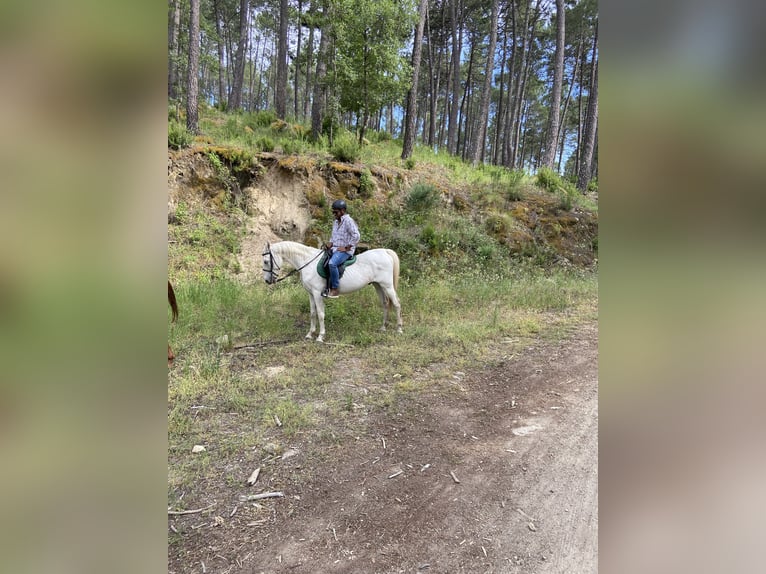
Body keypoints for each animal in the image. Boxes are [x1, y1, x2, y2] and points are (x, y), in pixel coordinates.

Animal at [264, 240, 404, 342]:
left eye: (265, 261)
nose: (267, 281)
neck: (308, 262)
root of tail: (385, 251)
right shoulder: (310, 294)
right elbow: (312, 313)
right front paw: (310, 334)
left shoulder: (317, 293)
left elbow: (320, 314)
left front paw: (320, 336)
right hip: (378, 285)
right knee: (385, 303)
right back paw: (383, 327)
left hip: (387, 285)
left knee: (396, 303)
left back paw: (399, 329)